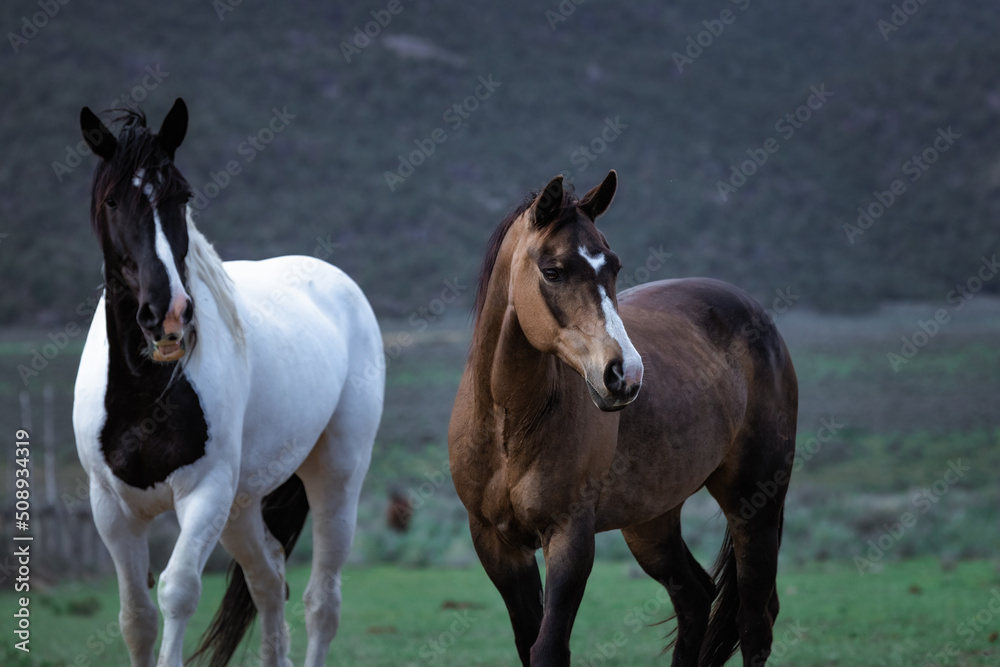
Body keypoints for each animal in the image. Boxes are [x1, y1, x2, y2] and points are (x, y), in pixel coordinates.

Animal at [73, 100, 386, 667]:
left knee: (321, 601)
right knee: (269, 579)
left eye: (183, 196)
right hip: (241, 508)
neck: (145, 391)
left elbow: (177, 592)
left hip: (336, 478)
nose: (168, 314)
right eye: (112, 199)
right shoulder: (111, 509)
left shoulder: (205, 493)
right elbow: (136, 619)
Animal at [448, 172, 796, 667]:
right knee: (694, 597)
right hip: (651, 522)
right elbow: (529, 644)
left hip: (755, 506)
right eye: (552, 271)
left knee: (753, 625)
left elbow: (548, 648)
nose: (625, 375)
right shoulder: (496, 546)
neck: (508, 426)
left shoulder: (570, 538)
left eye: (613, 267)